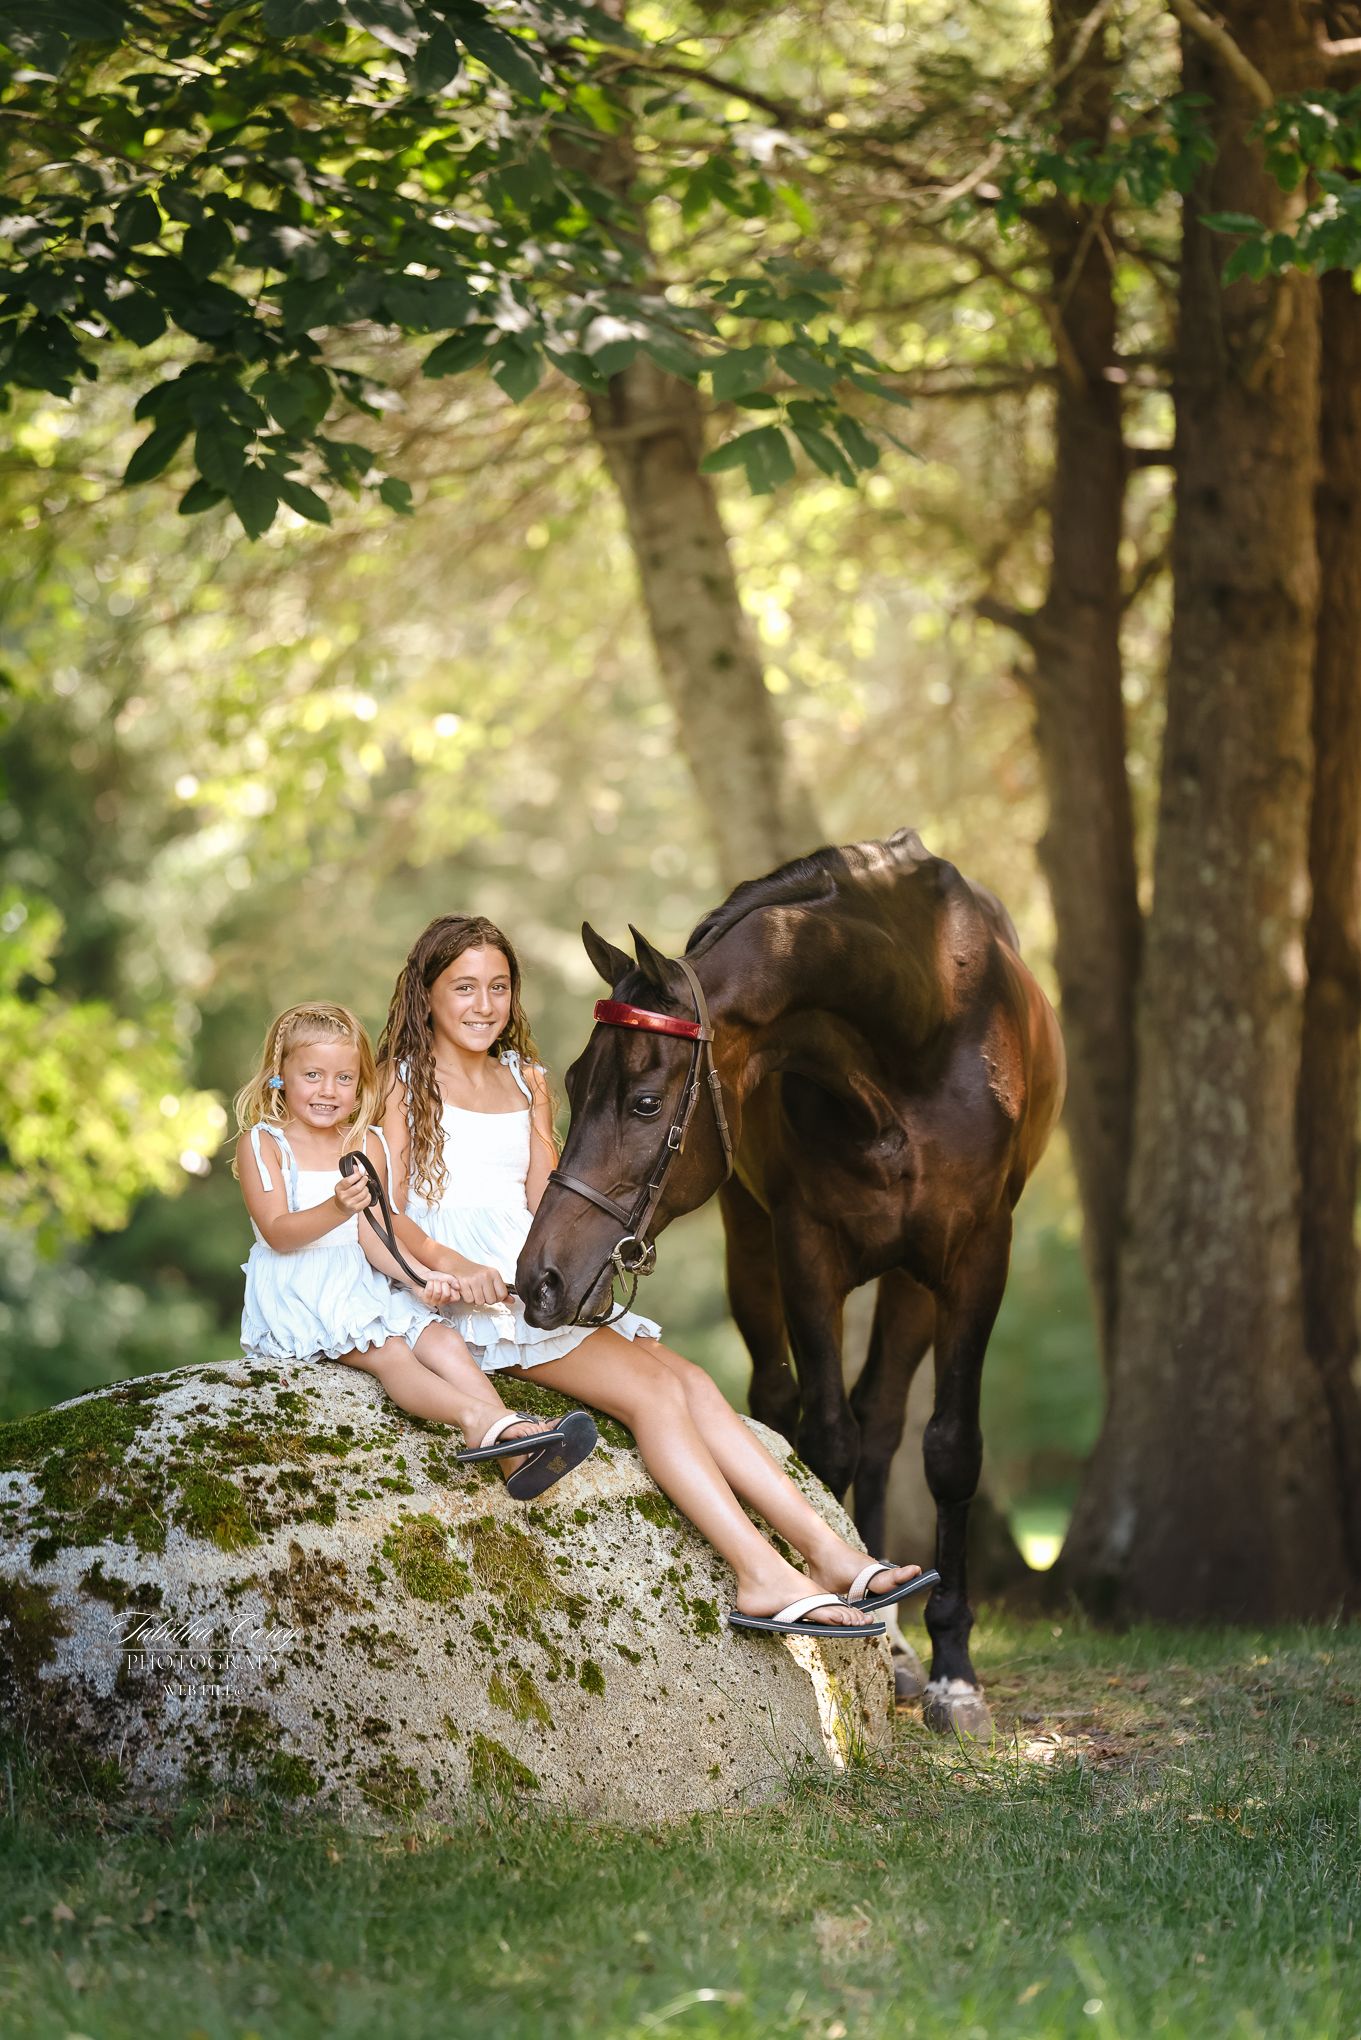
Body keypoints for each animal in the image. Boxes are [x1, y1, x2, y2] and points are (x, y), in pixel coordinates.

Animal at [517, 828, 1066, 1736]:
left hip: (912, 1281)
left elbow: (948, 1448)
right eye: (568, 1082)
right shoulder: (805, 1247)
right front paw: (871, 1645)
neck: (917, 1028)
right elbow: (825, 1436)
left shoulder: (977, 1255)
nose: (539, 1278)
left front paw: (954, 1673)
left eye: (643, 1101)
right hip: (752, 1245)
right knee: (789, 1406)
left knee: (885, 1422)